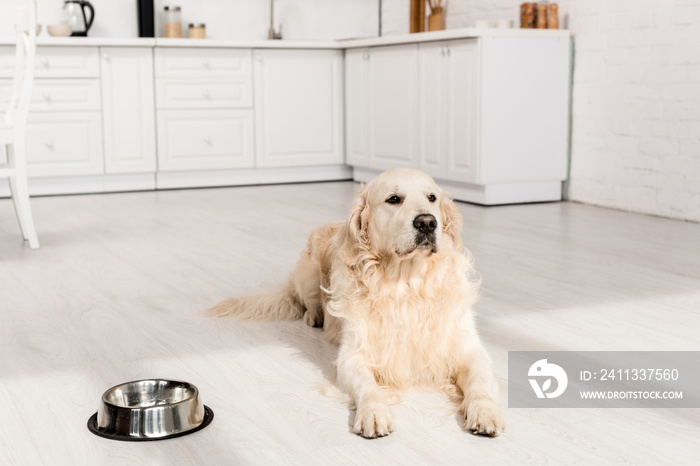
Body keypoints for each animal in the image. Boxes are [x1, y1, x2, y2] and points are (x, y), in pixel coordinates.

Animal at [206, 169, 504, 438]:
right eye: (393, 199)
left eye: (432, 197)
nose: (428, 223)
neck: (407, 284)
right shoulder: (352, 355)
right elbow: (367, 386)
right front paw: (374, 412)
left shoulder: (469, 349)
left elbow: (479, 382)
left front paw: (485, 411)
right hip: (308, 274)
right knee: (307, 302)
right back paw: (315, 317)